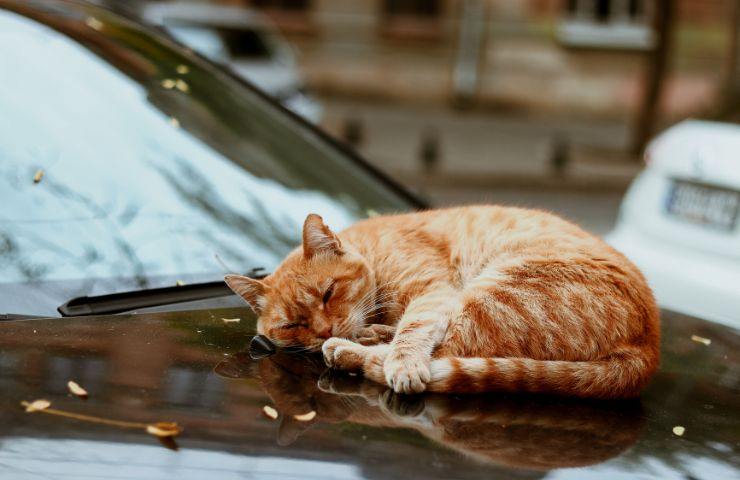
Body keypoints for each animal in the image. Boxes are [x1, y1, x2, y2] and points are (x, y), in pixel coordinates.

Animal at [224, 206, 660, 398]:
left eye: (328, 292)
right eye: (292, 325)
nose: (324, 328)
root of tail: (648, 343)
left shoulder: (434, 292)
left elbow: (413, 333)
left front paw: (395, 354)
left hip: (495, 294)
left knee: (443, 355)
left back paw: (349, 350)